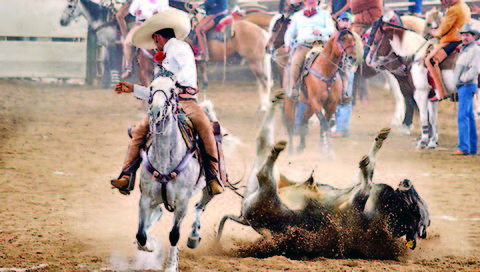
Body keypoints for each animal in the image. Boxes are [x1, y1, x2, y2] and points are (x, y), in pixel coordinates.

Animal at [133, 76, 218, 272]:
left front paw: (171, 266)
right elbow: (141, 235)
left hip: (209, 189)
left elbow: (174, 235)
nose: (156, 111)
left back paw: (193, 237)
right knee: (158, 212)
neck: (165, 158)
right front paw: (151, 244)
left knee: (199, 207)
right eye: (151, 87)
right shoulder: (145, 198)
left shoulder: (181, 203)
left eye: (172, 90)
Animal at [284, 29, 358, 157]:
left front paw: (323, 151)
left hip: (309, 106)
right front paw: (329, 150)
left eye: (353, 39)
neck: (325, 70)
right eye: (342, 39)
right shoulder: (316, 102)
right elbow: (323, 123)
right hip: (291, 102)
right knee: (290, 124)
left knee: (303, 121)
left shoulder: (331, 104)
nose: (352, 57)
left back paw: (301, 146)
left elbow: (325, 125)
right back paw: (291, 151)